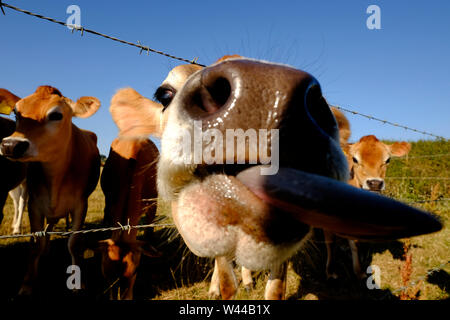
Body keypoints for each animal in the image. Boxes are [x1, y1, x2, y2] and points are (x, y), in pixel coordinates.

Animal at [0, 85, 101, 296]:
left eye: (56, 115)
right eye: (16, 113)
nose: (11, 145)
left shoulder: (81, 204)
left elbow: (74, 243)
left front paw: (78, 284)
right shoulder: (35, 205)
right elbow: (35, 244)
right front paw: (27, 284)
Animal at [111, 55, 440, 300]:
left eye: (387, 160)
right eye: (165, 94)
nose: (265, 94)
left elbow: (277, 290)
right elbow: (226, 281)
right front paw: (221, 287)